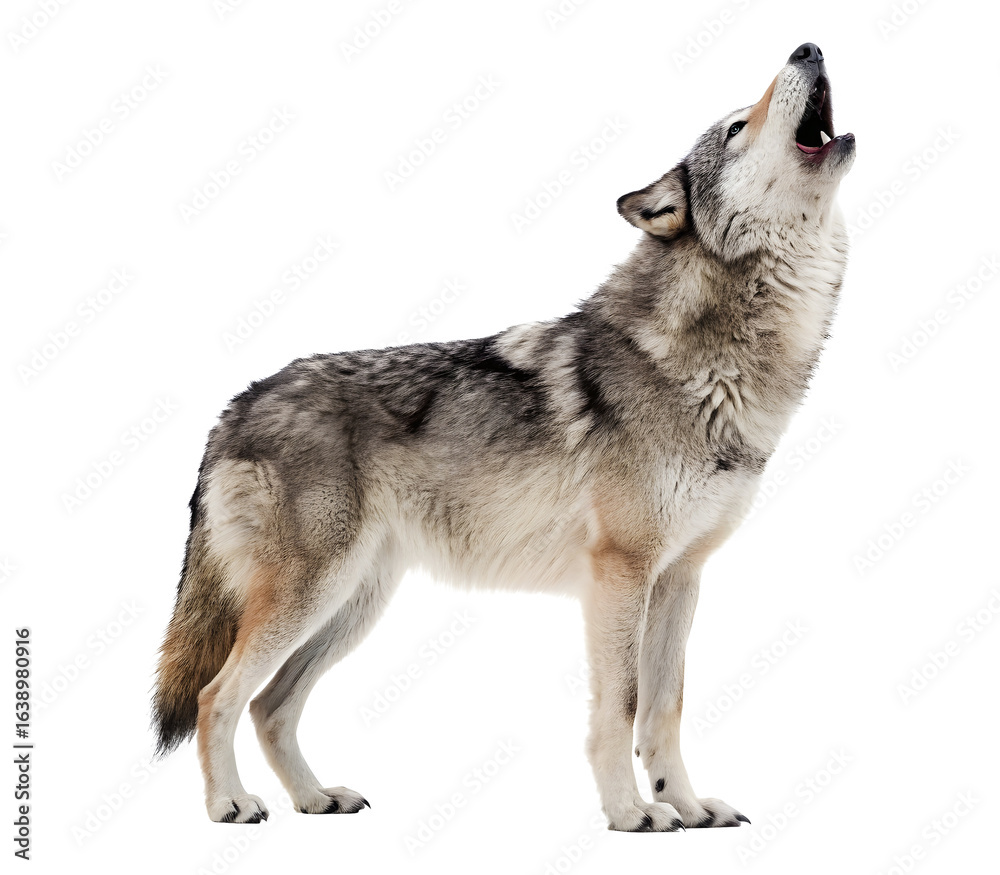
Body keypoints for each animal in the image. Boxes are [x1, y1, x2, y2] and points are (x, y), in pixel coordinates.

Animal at [152, 42, 854, 831]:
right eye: (737, 126)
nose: (808, 47)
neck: (715, 358)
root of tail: (235, 404)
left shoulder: (680, 576)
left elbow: (665, 707)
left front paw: (687, 804)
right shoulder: (620, 575)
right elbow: (622, 706)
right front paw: (631, 812)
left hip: (353, 604)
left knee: (271, 705)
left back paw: (315, 797)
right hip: (311, 594)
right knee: (217, 694)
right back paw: (230, 803)